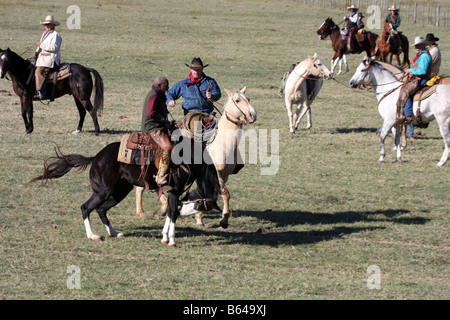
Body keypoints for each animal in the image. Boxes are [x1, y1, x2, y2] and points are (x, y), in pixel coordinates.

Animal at [29, 136, 222, 246]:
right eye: (199, 205)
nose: (185, 213)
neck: (189, 159)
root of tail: (96, 157)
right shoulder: (174, 190)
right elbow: (172, 212)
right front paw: (171, 240)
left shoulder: (173, 192)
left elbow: (169, 211)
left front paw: (165, 237)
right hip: (103, 191)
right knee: (86, 207)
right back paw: (93, 236)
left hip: (119, 192)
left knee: (101, 209)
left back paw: (114, 232)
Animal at [135, 86, 256, 229]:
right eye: (237, 100)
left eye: (248, 99)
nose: (253, 115)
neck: (221, 142)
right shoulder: (216, 174)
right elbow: (223, 193)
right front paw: (222, 219)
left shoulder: (223, 175)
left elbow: (213, 194)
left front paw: (201, 217)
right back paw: (148, 211)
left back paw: (148, 211)